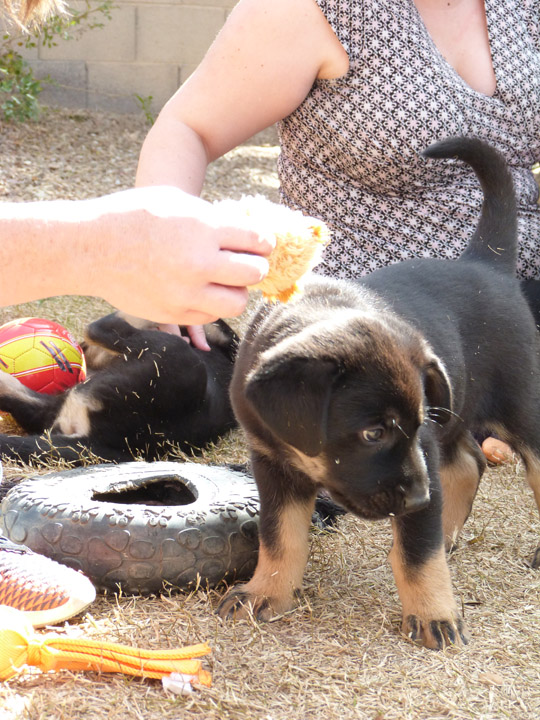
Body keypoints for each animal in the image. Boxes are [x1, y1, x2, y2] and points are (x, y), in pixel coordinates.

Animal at [216, 138, 540, 648]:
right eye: (372, 433)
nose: (420, 501)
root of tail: (485, 261)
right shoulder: (272, 464)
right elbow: (280, 535)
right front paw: (265, 592)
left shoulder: (422, 446)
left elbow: (417, 552)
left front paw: (434, 615)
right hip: (453, 417)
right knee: (468, 461)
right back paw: (448, 529)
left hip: (518, 408)